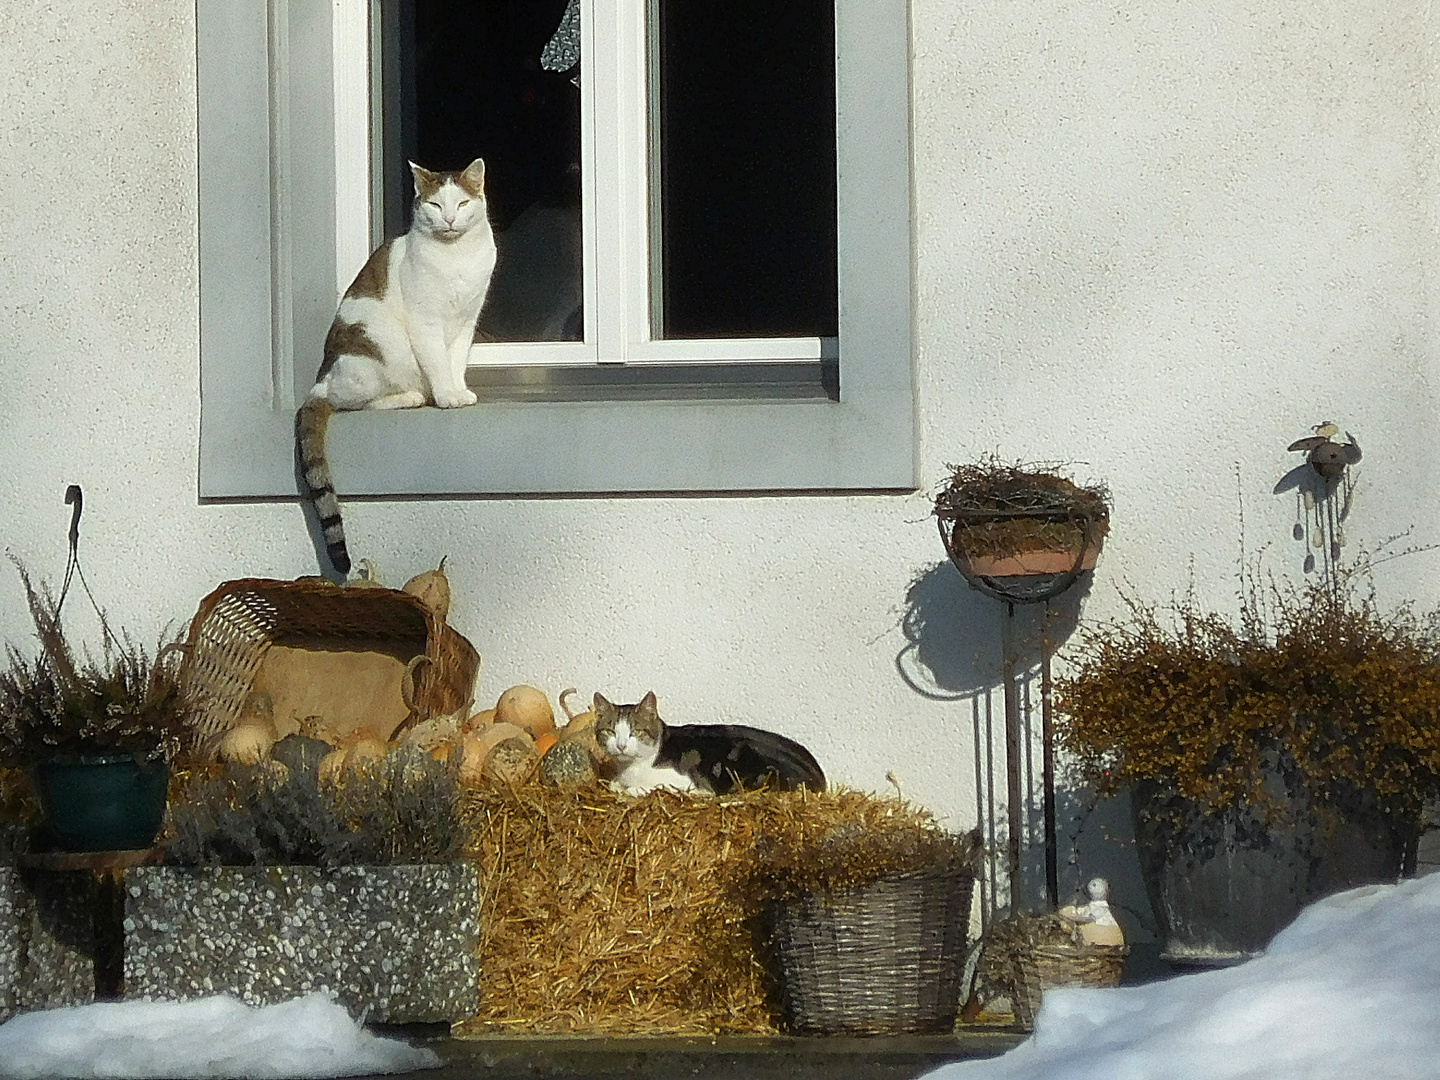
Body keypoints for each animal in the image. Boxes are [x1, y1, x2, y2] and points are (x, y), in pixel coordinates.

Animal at [295, 157, 498, 576]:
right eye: (435, 205)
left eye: (462, 203)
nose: (449, 219)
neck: (456, 258)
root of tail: (320, 380)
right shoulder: (426, 323)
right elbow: (438, 362)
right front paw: (445, 396)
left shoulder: (466, 322)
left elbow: (455, 361)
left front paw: (458, 391)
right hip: (375, 356)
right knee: (350, 402)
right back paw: (409, 397)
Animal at [593, 688, 823, 800]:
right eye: (610, 731)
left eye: (635, 732)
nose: (621, 746)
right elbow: (614, 783)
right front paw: (618, 784)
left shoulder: (680, 779)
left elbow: (650, 787)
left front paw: (631, 789)